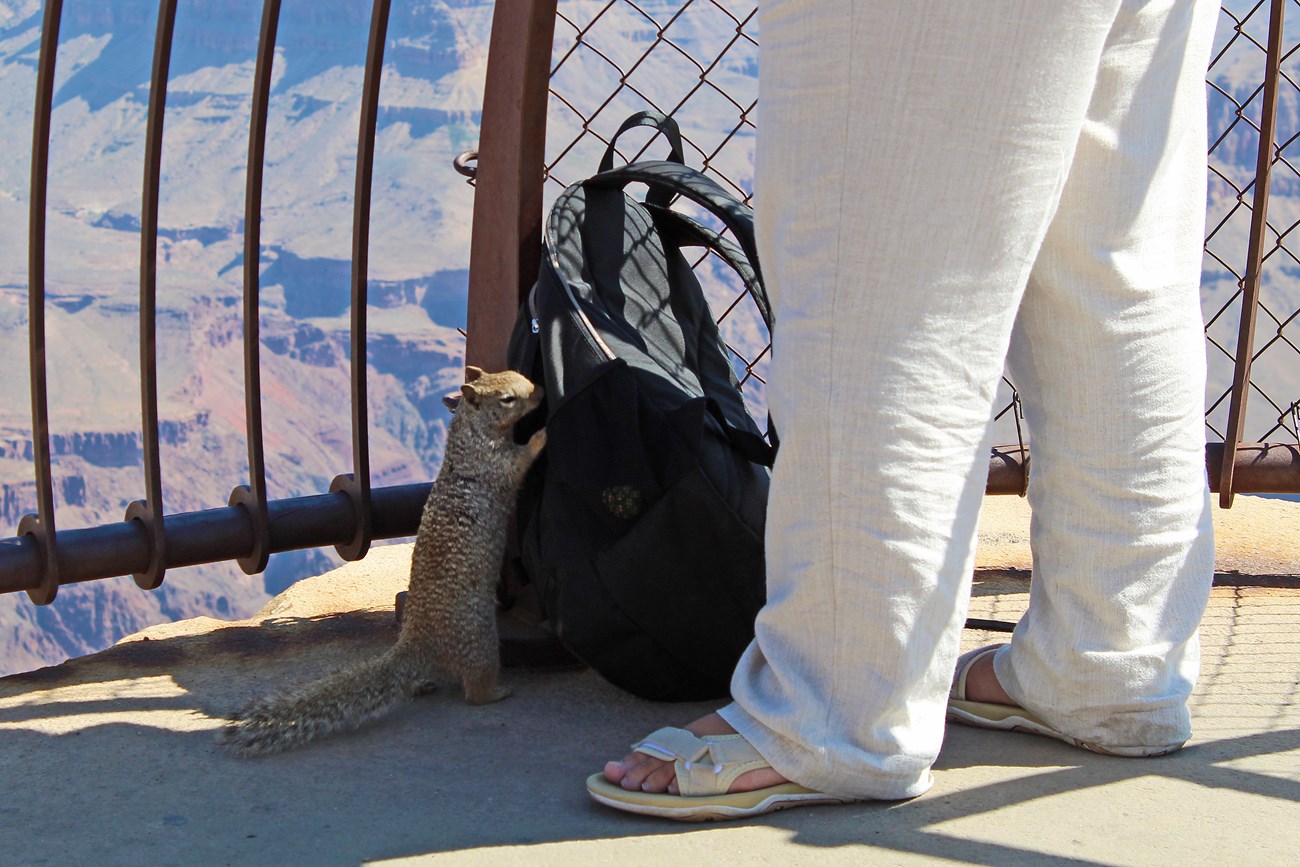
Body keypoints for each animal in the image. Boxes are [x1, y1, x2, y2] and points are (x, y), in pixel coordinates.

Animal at [220, 369, 546, 759]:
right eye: (508, 398)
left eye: (521, 376)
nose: (541, 391)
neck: (469, 436)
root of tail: (417, 641)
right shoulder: (496, 462)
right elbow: (518, 462)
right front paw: (541, 437)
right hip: (482, 643)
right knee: (474, 691)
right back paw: (496, 692)